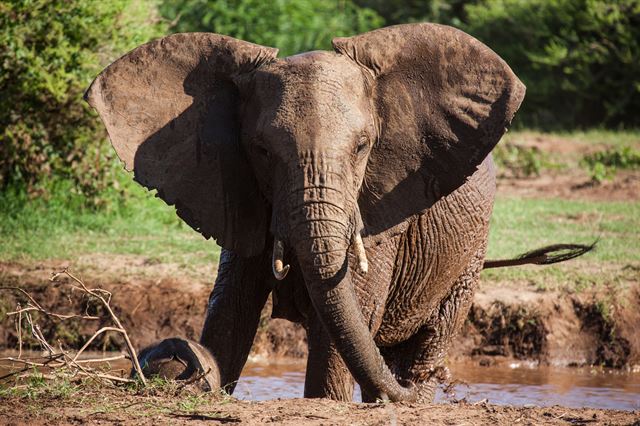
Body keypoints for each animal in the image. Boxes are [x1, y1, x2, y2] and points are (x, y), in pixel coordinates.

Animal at [85, 24, 592, 402]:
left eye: (363, 147)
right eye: (261, 150)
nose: (173, 353)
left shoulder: (380, 205)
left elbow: (348, 321)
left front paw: (327, 401)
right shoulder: (238, 189)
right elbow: (231, 309)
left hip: (468, 256)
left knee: (426, 345)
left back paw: (413, 392)